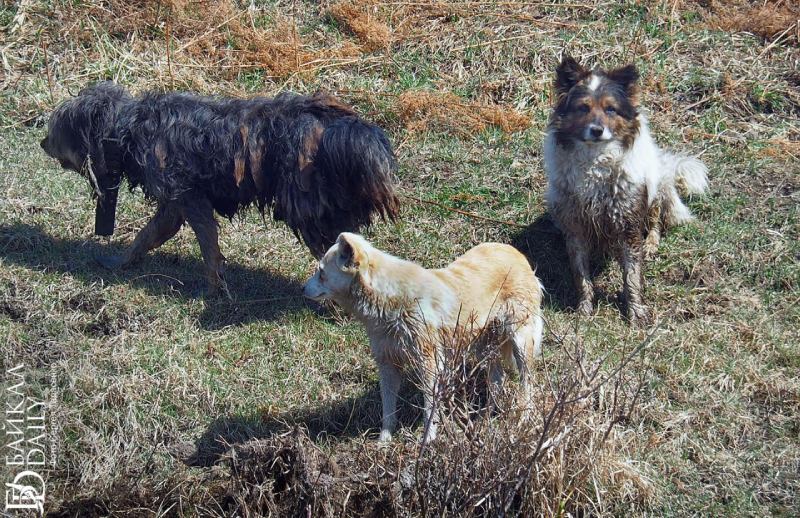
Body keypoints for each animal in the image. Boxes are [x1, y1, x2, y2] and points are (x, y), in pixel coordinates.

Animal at [40, 82, 399, 296]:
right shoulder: (175, 202)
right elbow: (147, 236)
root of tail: (353, 134)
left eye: (56, 127)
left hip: (310, 211)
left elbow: (206, 246)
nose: (42, 143)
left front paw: (215, 290)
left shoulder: (187, 196)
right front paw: (120, 261)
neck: (128, 127)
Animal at [303, 233, 543, 442]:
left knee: (527, 382)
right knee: (497, 380)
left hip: (520, 341)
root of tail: (515, 252)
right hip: (484, 346)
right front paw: (384, 441)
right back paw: (483, 420)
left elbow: (429, 409)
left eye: (321, 272)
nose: (303, 288)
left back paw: (524, 417)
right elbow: (388, 409)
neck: (390, 300)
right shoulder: (388, 364)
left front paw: (428, 441)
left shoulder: (430, 364)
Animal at [543, 56, 709, 325]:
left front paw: (635, 311)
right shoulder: (575, 226)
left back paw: (651, 244)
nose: (597, 130)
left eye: (610, 109)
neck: (596, 164)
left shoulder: (628, 224)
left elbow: (631, 275)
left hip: (656, 189)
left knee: (655, 221)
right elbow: (581, 277)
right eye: (583, 108)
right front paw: (584, 309)